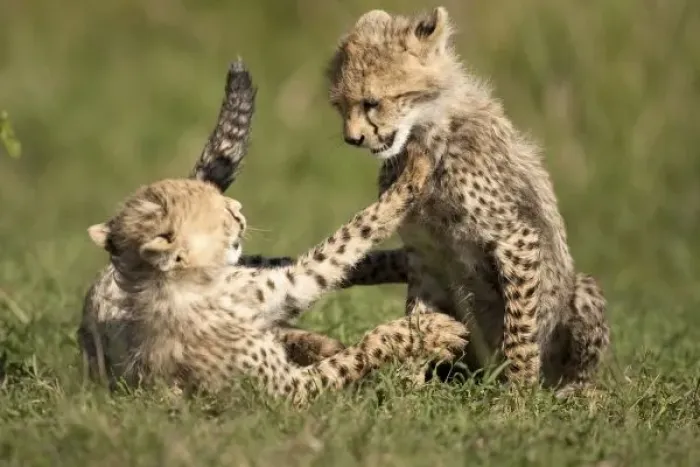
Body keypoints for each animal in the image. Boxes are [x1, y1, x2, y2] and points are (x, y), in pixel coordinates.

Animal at [322, 6, 610, 395]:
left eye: (372, 103)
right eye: (340, 106)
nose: (352, 139)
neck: (423, 138)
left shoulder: (516, 237)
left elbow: (520, 328)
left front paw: (518, 396)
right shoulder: (426, 255)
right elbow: (418, 314)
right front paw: (408, 388)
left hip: (582, 291)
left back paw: (570, 392)